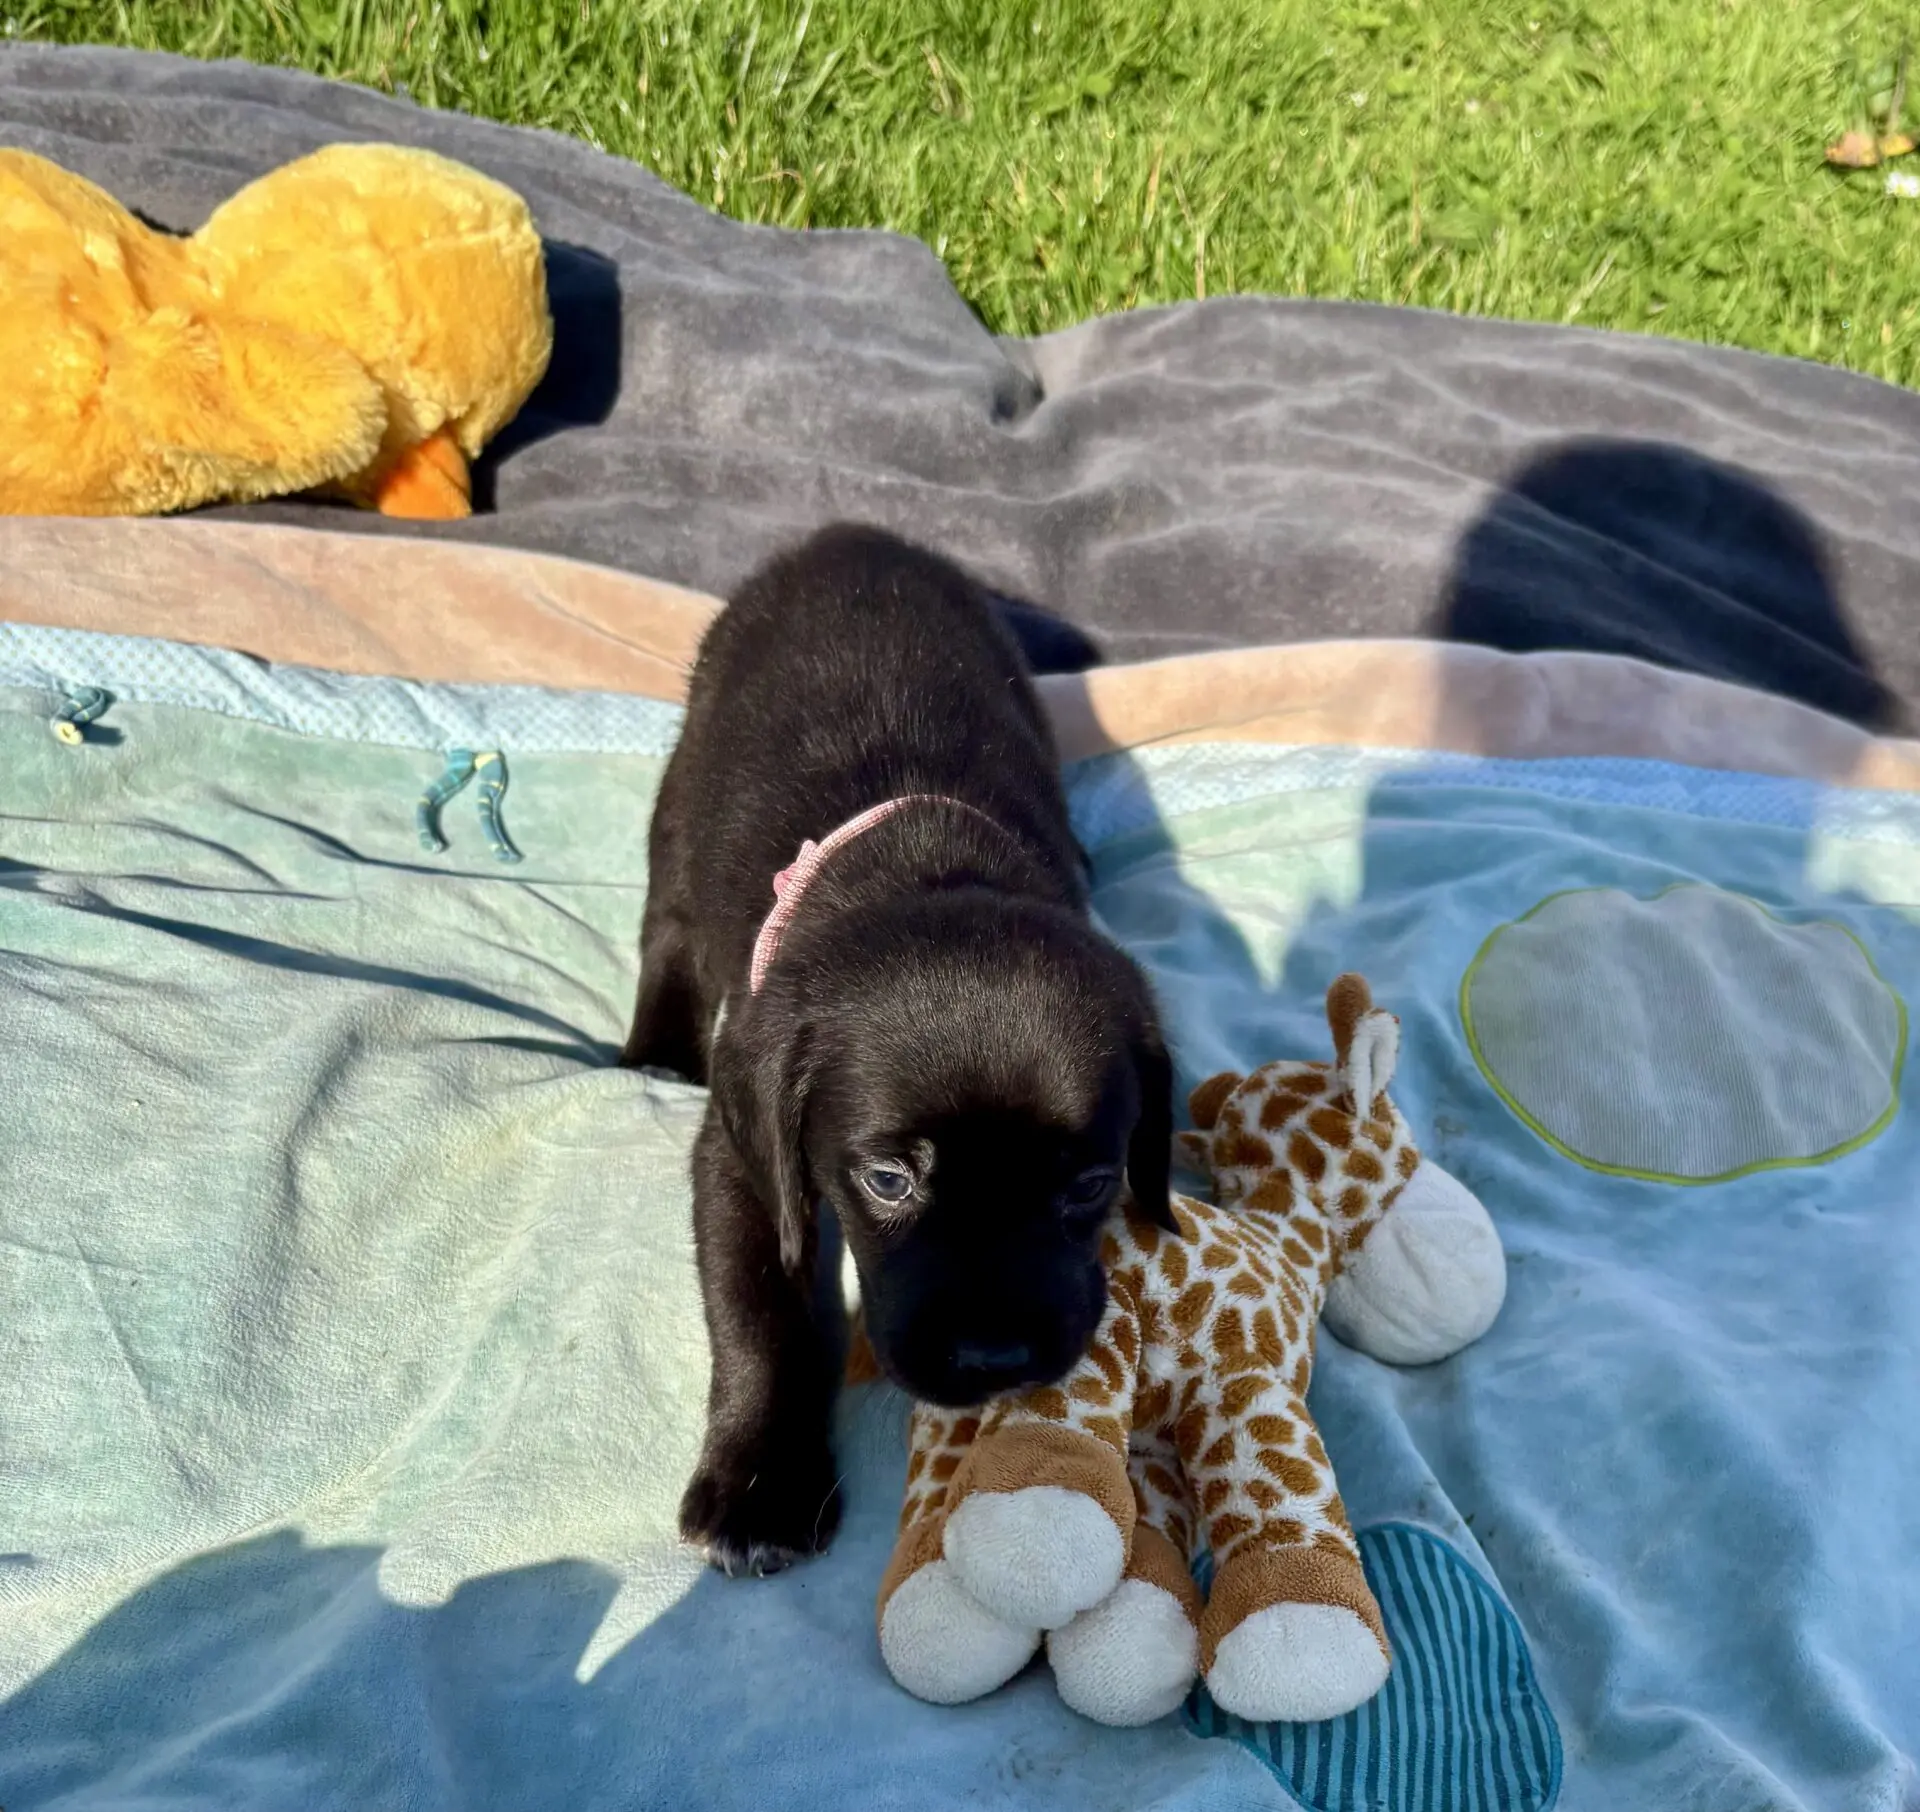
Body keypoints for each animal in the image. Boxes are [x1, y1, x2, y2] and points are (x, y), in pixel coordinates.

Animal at [621, 524, 1174, 1577]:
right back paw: (650, 1054)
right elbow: (757, 1311)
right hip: (681, 786)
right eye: (887, 1182)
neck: (925, 870)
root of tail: (847, 536)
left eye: (1090, 1185)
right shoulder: (741, 1156)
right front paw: (762, 1484)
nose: (997, 1362)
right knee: (665, 922)